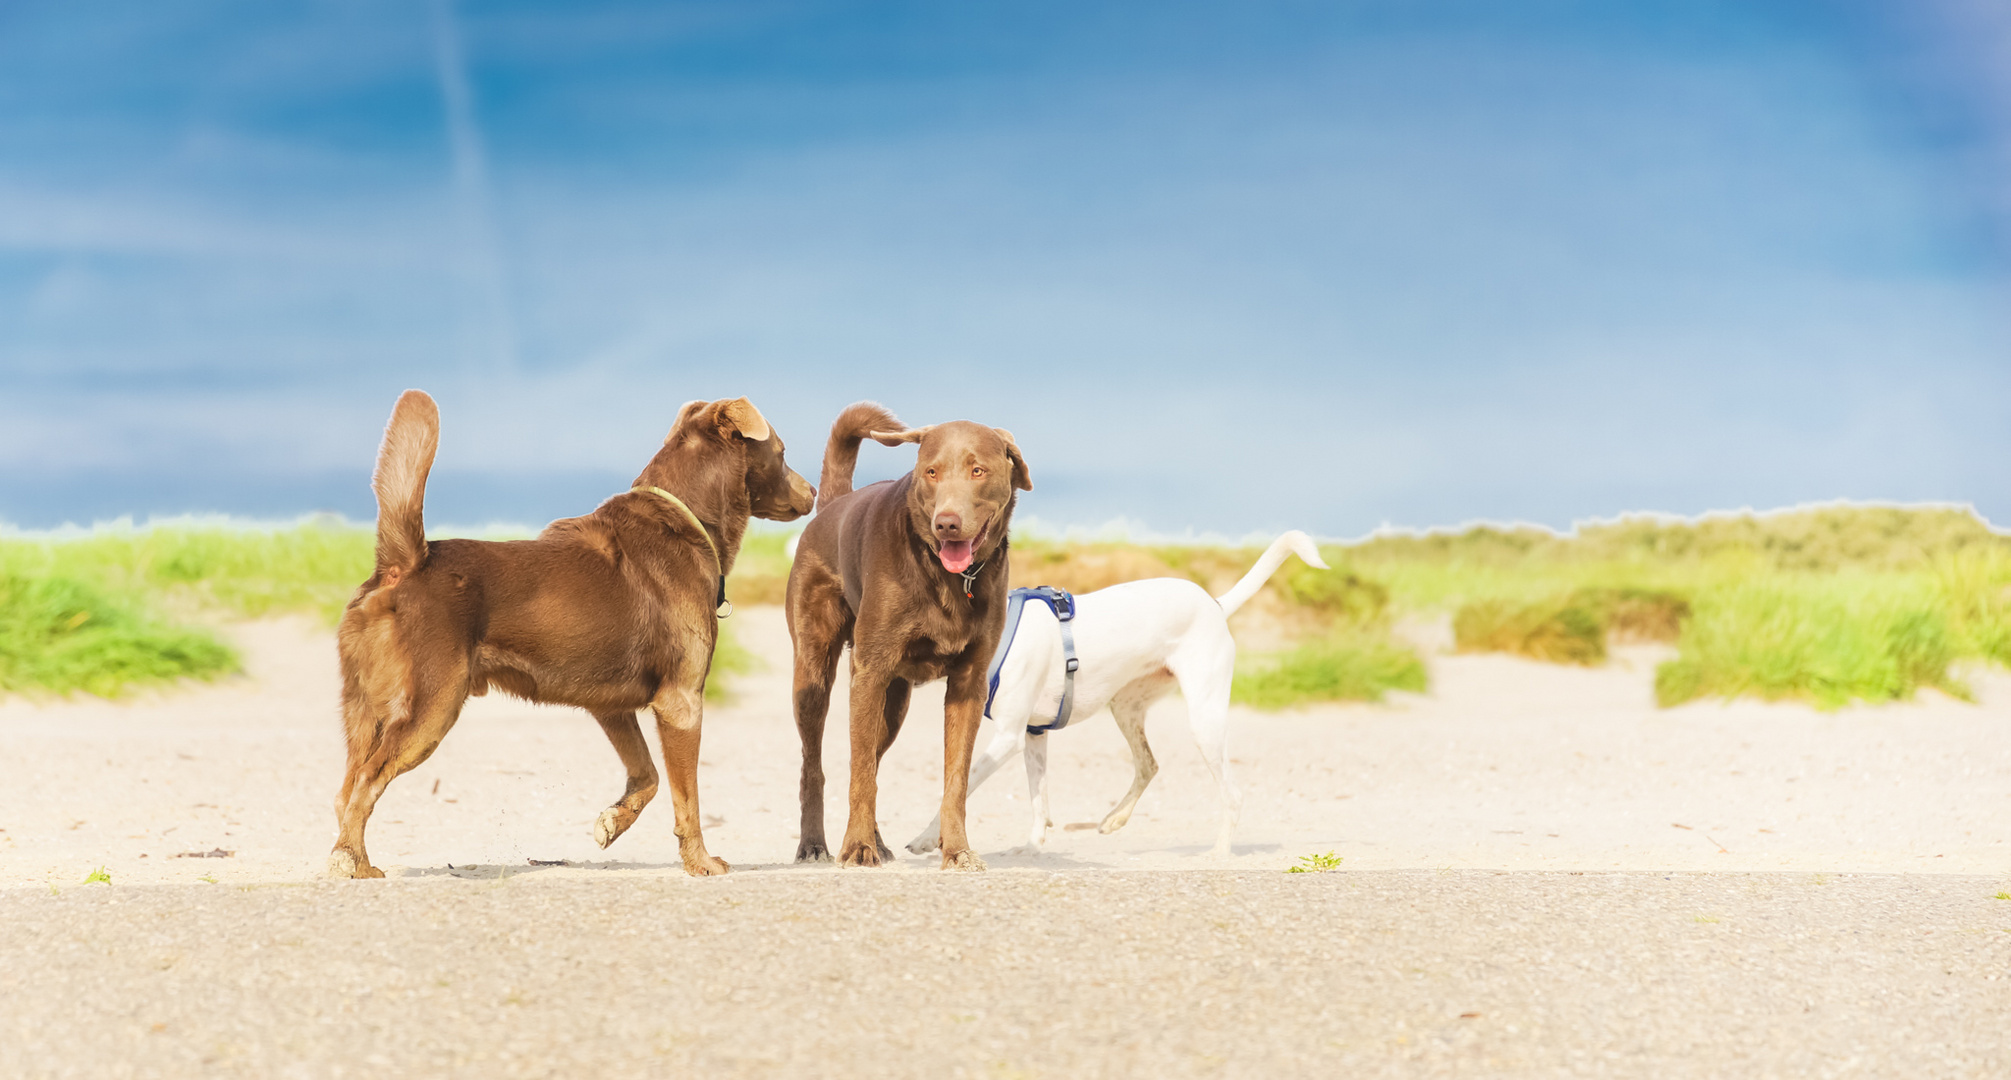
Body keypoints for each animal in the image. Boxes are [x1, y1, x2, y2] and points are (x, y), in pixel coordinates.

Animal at [325, 388, 812, 876]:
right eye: (783, 452)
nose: (812, 491)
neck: (686, 517)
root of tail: (404, 563)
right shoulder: (682, 702)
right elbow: (685, 798)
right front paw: (700, 861)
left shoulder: (610, 706)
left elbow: (648, 775)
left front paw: (612, 821)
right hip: (431, 707)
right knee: (367, 781)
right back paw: (350, 861)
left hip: (363, 709)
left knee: (344, 790)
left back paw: (354, 859)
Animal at [784, 402, 1037, 868]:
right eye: (931, 472)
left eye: (977, 470)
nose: (947, 524)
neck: (948, 576)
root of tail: (834, 504)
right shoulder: (869, 672)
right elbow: (859, 774)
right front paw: (857, 847)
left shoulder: (969, 683)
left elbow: (956, 779)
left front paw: (957, 851)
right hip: (814, 672)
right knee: (818, 764)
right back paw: (815, 845)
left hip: (894, 702)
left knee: (873, 760)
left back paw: (877, 841)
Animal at [908, 530, 1319, 860]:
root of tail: (1215, 604)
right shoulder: (1032, 735)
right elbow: (1039, 799)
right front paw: (1031, 847)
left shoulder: (1008, 737)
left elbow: (955, 792)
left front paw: (927, 839)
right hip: (1125, 707)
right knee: (1149, 764)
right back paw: (1115, 818)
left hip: (1205, 721)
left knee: (1232, 795)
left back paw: (1218, 852)